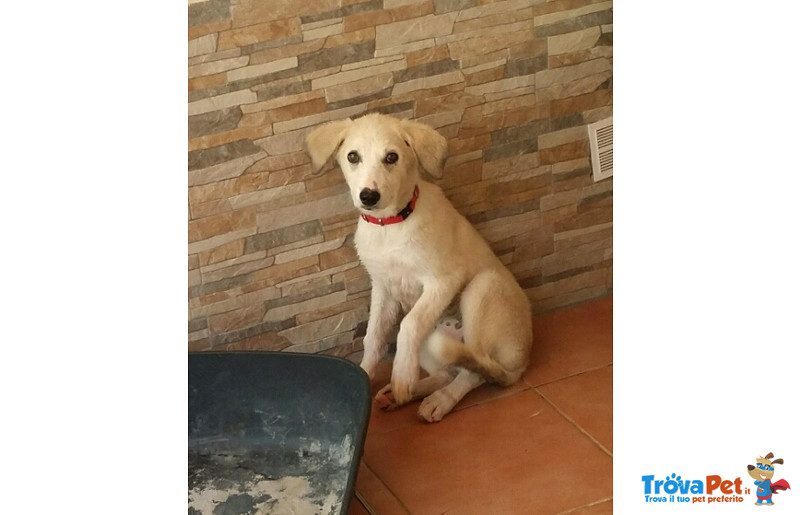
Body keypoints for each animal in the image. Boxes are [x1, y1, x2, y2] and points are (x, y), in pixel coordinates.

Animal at [306, 114, 532, 424]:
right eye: (353, 156)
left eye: (392, 157)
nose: (368, 196)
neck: (389, 226)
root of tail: (520, 364)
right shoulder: (383, 287)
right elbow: (373, 337)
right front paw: (364, 375)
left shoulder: (444, 280)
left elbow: (408, 325)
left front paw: (402, 375)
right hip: (434, 339)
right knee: (448, 372)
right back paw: (405, 394)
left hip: (483, 288)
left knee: (474, 371)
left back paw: (439, 399)